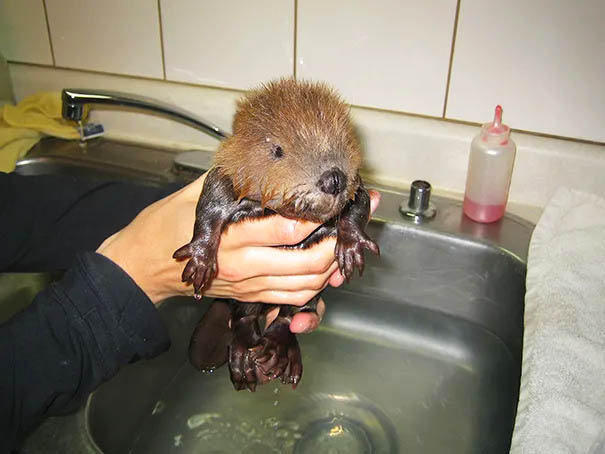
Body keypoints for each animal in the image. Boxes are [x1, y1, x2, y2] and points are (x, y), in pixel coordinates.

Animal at [172, 78, 378, 390]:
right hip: (243, 299)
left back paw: (276, 353)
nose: (333, 179)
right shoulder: (229, 172)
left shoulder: (357, 183)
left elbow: (359, 201)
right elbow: (211, 199)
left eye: (343, 141)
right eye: (278, 150)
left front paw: (352, 249)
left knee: (288, 316)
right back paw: (245, 359)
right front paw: (199, 263)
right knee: (243, 318)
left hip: (305, 296)